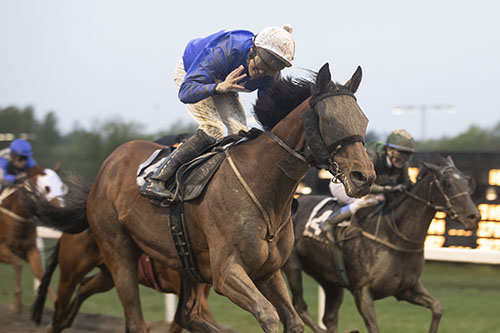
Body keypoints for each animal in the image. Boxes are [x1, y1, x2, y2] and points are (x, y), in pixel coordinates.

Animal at [0, 165, 66, 312]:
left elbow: (41, 274)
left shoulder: (31, 250)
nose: (62, 210)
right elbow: (18, 263)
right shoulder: (1, 250)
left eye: (61, 186)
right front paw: (17, 304)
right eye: (46, 188)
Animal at [31, 63, 376, 332]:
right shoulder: (226, 273)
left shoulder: (268, 271)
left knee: (181, 315)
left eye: (363, 120)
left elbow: (291, 320)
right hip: (116, 252)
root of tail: (109, 165)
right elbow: (267, 315)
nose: (365, 177)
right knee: (120, 318)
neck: (263, 187)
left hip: (175, 265)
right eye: (331, 121)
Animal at [282, 157, 480, 332]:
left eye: (467, 181)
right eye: (447, 183)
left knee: (328, 317)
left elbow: (437, 308)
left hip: (329, 279)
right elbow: (374, 327)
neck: (395, 235)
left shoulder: (406, 289)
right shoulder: (362, 291)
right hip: (293, 266)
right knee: (299, 307)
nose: (474, 217)